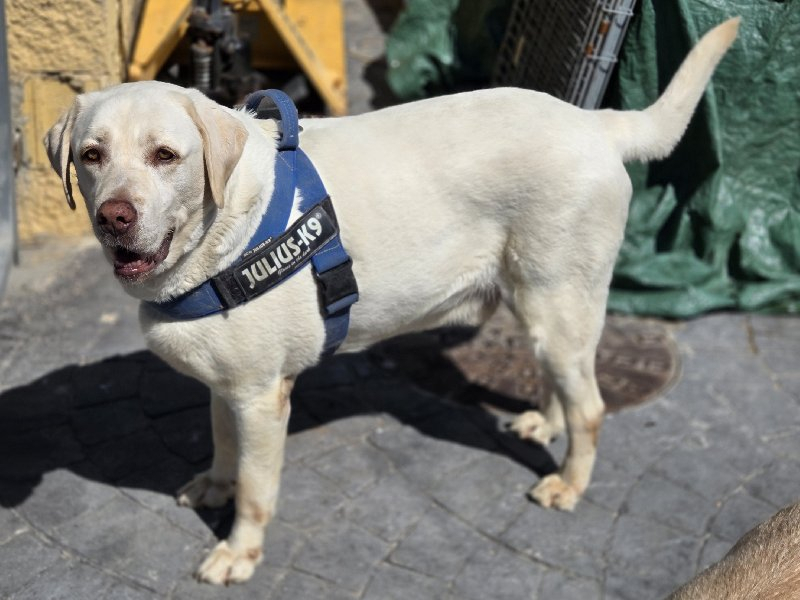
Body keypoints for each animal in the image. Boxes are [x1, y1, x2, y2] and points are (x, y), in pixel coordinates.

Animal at [45, 18, 739, 585]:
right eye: (91, 155)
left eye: (165, 155)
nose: (114, 217)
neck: (224, 231)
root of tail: (591, 121)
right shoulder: (227, 384)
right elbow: (221, 447)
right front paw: (215, 486)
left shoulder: (262, 398)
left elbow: (255, 488)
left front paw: (239, 552)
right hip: (535, 299)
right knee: (563, 382)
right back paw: (546, 422)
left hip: (557, 300)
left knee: (591, 406)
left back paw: (569, 482)